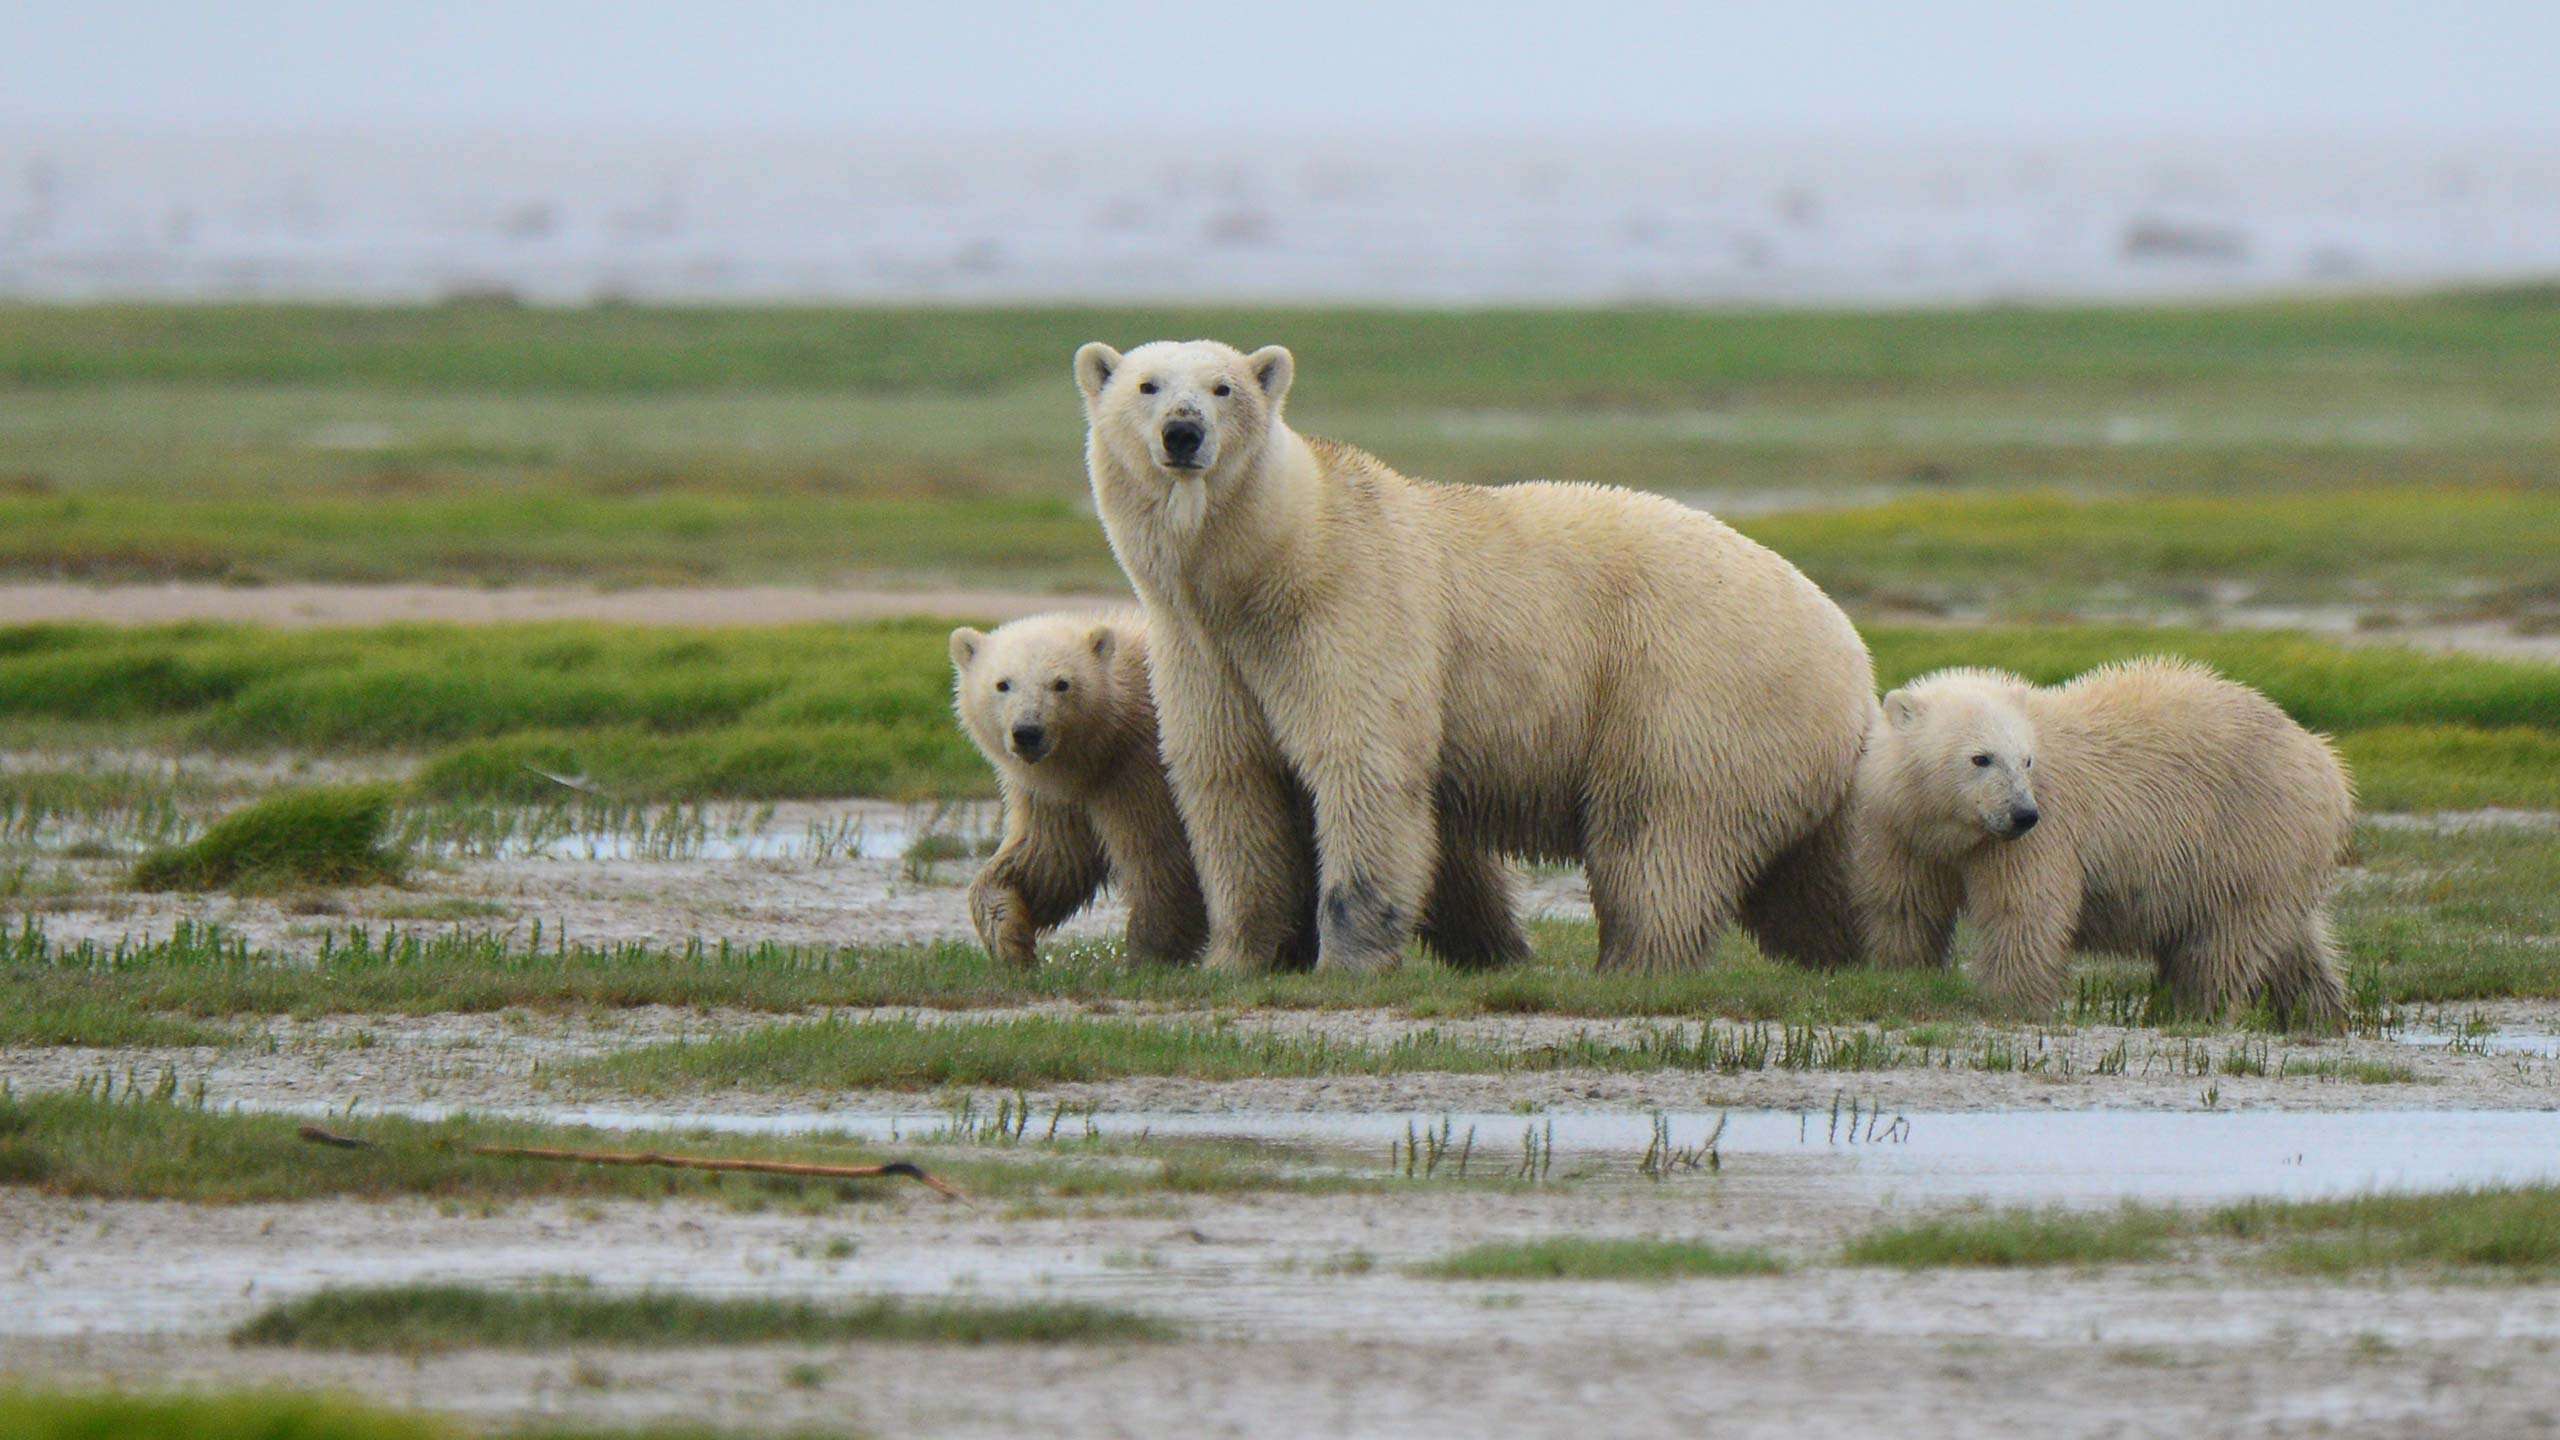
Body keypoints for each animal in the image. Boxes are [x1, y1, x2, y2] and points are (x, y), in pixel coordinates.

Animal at [1070, 333, 1873, 973]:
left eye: (1223, 387)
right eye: (1146, 385)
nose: (1183, 432)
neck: (1269, 562)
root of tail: (1852, 652)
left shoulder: (1351, 614)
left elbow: (1364, 769)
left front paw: (1347, 960)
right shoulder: (1203, 651)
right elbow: (1231, 784)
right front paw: (1236, 959)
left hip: (1692, 689)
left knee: (1657, 836)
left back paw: (1630, 963)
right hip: (1783, 740)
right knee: (1807, 877)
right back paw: (1849, 955)